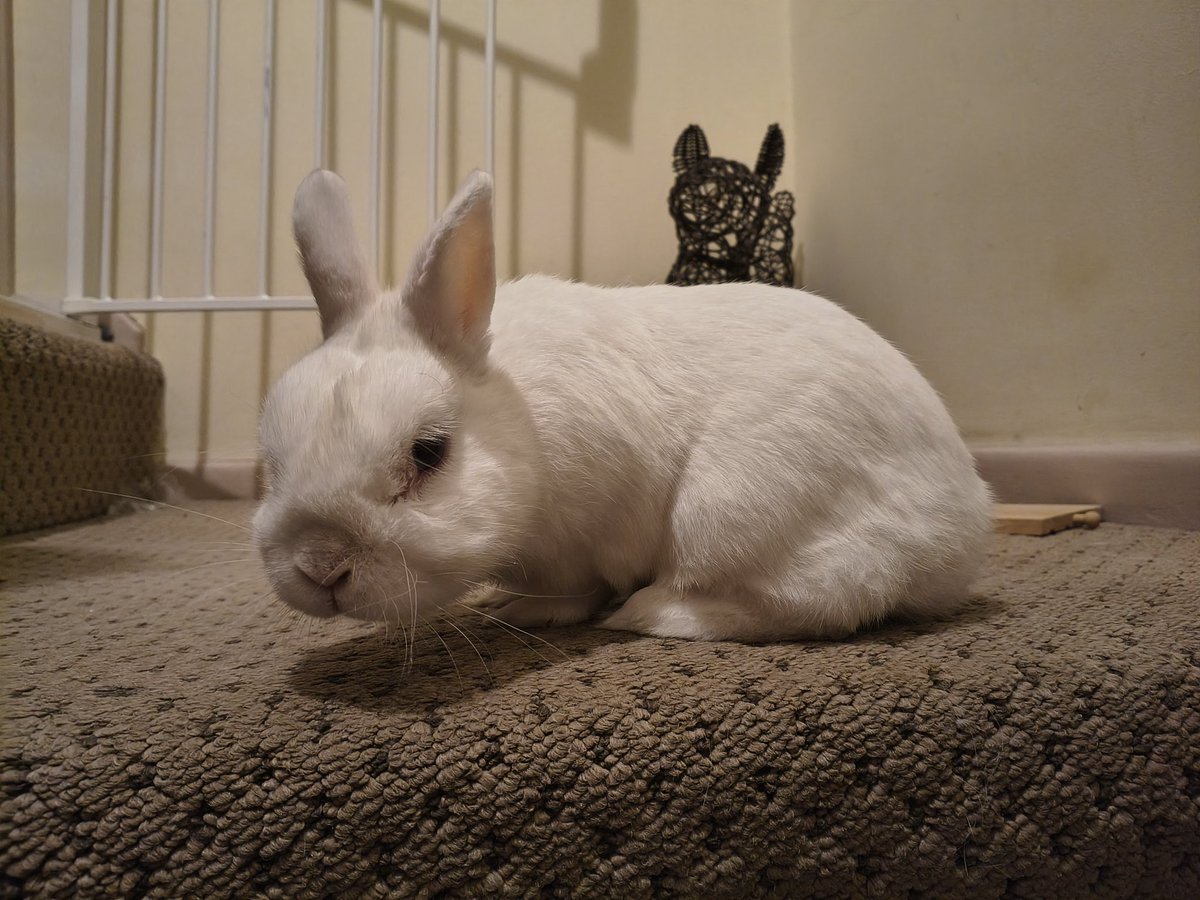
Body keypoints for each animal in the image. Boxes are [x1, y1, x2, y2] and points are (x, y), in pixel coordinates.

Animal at [252, 168, 993, 643]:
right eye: (272, 458)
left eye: (429, 453)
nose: (320, 567)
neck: (524, 424)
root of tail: (960, 526)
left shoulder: (585, 539)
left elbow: (573, 590)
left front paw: (530, 613)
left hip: (730, 512)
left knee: (823, 601)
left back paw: (651, 615)